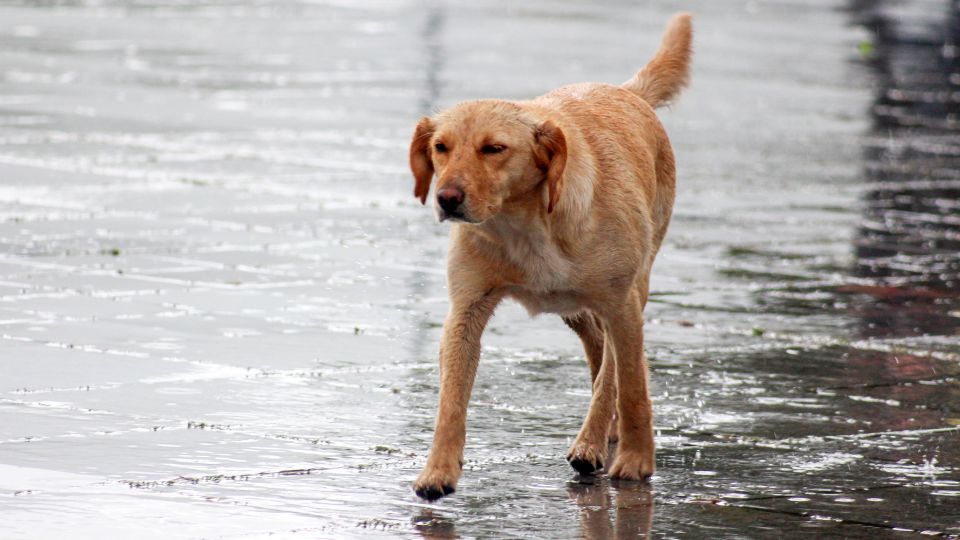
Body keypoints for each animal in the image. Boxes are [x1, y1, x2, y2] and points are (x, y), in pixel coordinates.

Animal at [404, 13, 688, 502]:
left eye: (494, 148)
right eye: (440, 147)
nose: (446, 198)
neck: (524, 225)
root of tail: (628, 91)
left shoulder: (622, 304)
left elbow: (632, 385)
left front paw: (636, 461)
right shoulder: (466, 311)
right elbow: (451, 402)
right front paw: (438, 470)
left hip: (631, 288)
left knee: (612, 368)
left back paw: (595, 441)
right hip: (573, 307)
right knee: (597, 346)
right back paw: (603, 433)